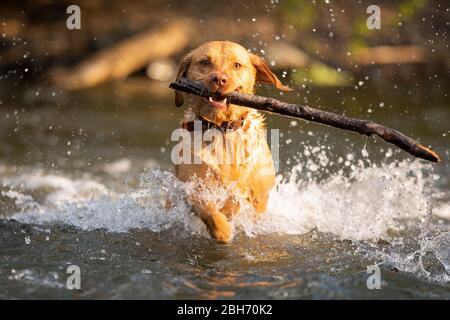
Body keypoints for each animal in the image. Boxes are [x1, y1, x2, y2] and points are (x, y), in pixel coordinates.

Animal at [172, 41, 292, 244]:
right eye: (204, 62)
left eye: (236, 65)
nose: (219, 79)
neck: (223, 129)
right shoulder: (192, 188)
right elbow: (208, 210)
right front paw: (224, 230)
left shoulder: (260, 197)